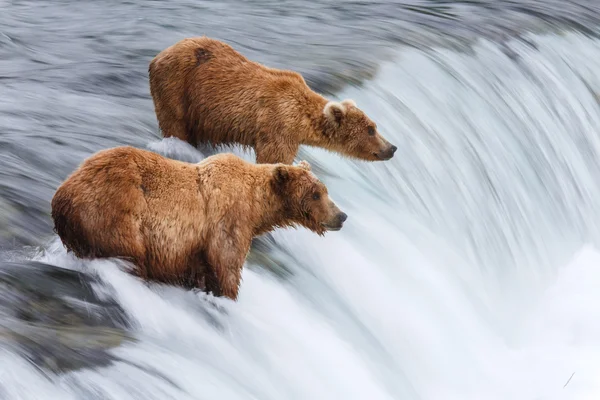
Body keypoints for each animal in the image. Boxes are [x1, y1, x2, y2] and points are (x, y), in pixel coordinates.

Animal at [51, 146, 346, 300]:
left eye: (325, 189)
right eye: (316, 194)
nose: (341, 215)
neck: (256, 207)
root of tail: (61, 194)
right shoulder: (227, 222)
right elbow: (226, 267)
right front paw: (227, 295)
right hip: (114, 216)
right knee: (129, 256)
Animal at [148, 35, 396, 164]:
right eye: (371, 129)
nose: (392, 147)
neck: (302, 121)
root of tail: (159, 55)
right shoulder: (278, 127)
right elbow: (274, 159)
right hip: (177, 87)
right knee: (175, 124)